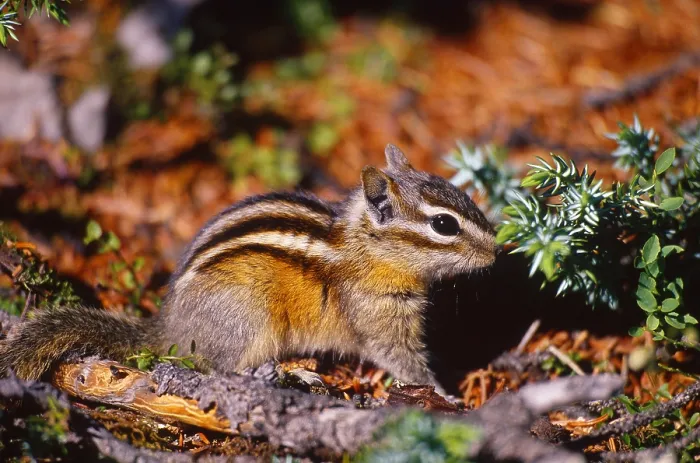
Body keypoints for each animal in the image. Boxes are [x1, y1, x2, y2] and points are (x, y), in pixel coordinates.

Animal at [0, 144, 497, 393]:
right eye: (444, 224)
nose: (496, 250)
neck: (365, 248)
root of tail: (170, 328)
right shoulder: (379, 317)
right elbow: (402, 360)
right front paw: (444, 394)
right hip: (250, 318)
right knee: (219, 370)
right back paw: (290, 373)